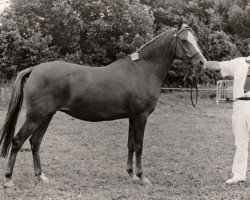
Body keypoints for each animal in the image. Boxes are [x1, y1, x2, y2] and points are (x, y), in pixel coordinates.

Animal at [0, 19, 207, 187]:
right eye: (184, 40)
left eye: (195, 39)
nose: (202, 63)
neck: (142, 70)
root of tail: (34, 69)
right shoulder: (141, 117)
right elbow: (139, 146)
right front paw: (142, 177)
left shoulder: (133, 117)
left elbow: (131, 145)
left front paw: (131, 175)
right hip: (35, 116)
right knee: (17, 141)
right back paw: (9, 179)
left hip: (46, 116)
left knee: (35, 142)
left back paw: (41, 176)